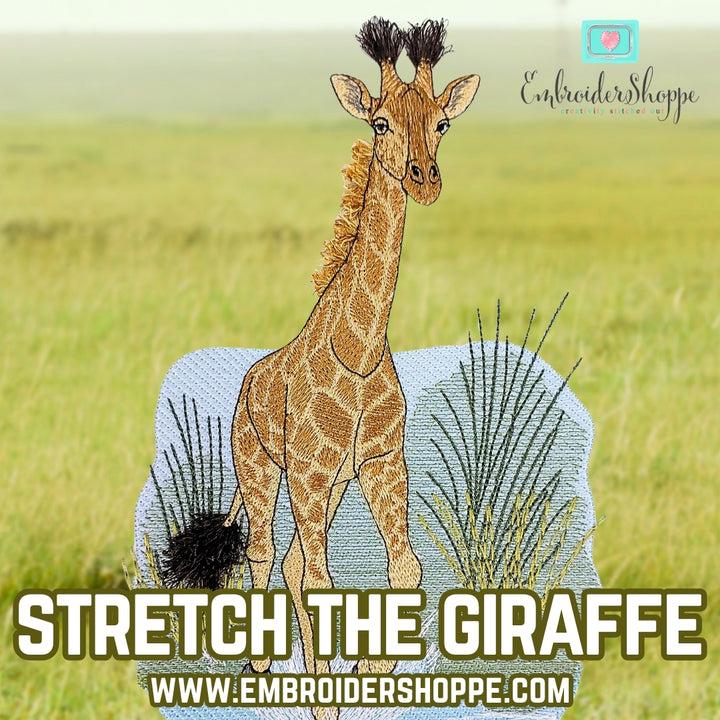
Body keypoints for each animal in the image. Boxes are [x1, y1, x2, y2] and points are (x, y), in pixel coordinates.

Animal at [162, 16, 479, 719]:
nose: (425, 179)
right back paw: (258, 663)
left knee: (285, 561)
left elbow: (404, 567)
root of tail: (248, 382)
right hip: (261, 469)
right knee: (263, 552)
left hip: (328, 485)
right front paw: (325, 693)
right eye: (380, 122)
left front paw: (374, 672)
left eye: (443, 122)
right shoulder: (307, 471)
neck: (358, 350)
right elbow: (318, 576)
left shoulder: (382, 462)